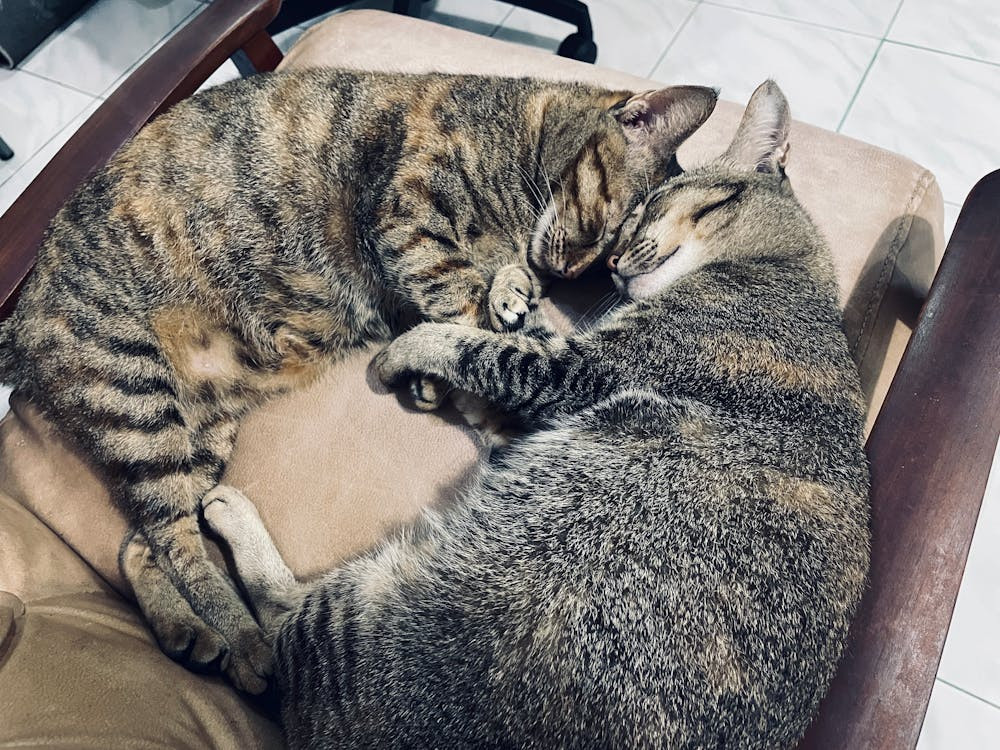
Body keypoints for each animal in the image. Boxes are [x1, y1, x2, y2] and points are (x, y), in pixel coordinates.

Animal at [0, 67, 720, 692]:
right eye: (608, 226)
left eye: (608, 260)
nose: (571, 270)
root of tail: (25, 306)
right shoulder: (411, 217)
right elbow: (467, 308)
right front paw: (494, 331)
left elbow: (480, 323)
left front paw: (478, 358)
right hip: (134, 399)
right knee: (176, 541)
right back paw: (243, 640)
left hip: (198, 433)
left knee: (142, 541)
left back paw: (194, 634)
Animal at [201, 79, 868, 748]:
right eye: (628, 220)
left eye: (649, 210)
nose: (615, 264)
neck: (781, 268)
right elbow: (504, 337)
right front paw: (507, 293)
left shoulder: (581, 370)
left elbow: (478, 347)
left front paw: (413, 345)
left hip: (358, 615)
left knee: (279, 627)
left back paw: (230, 514)